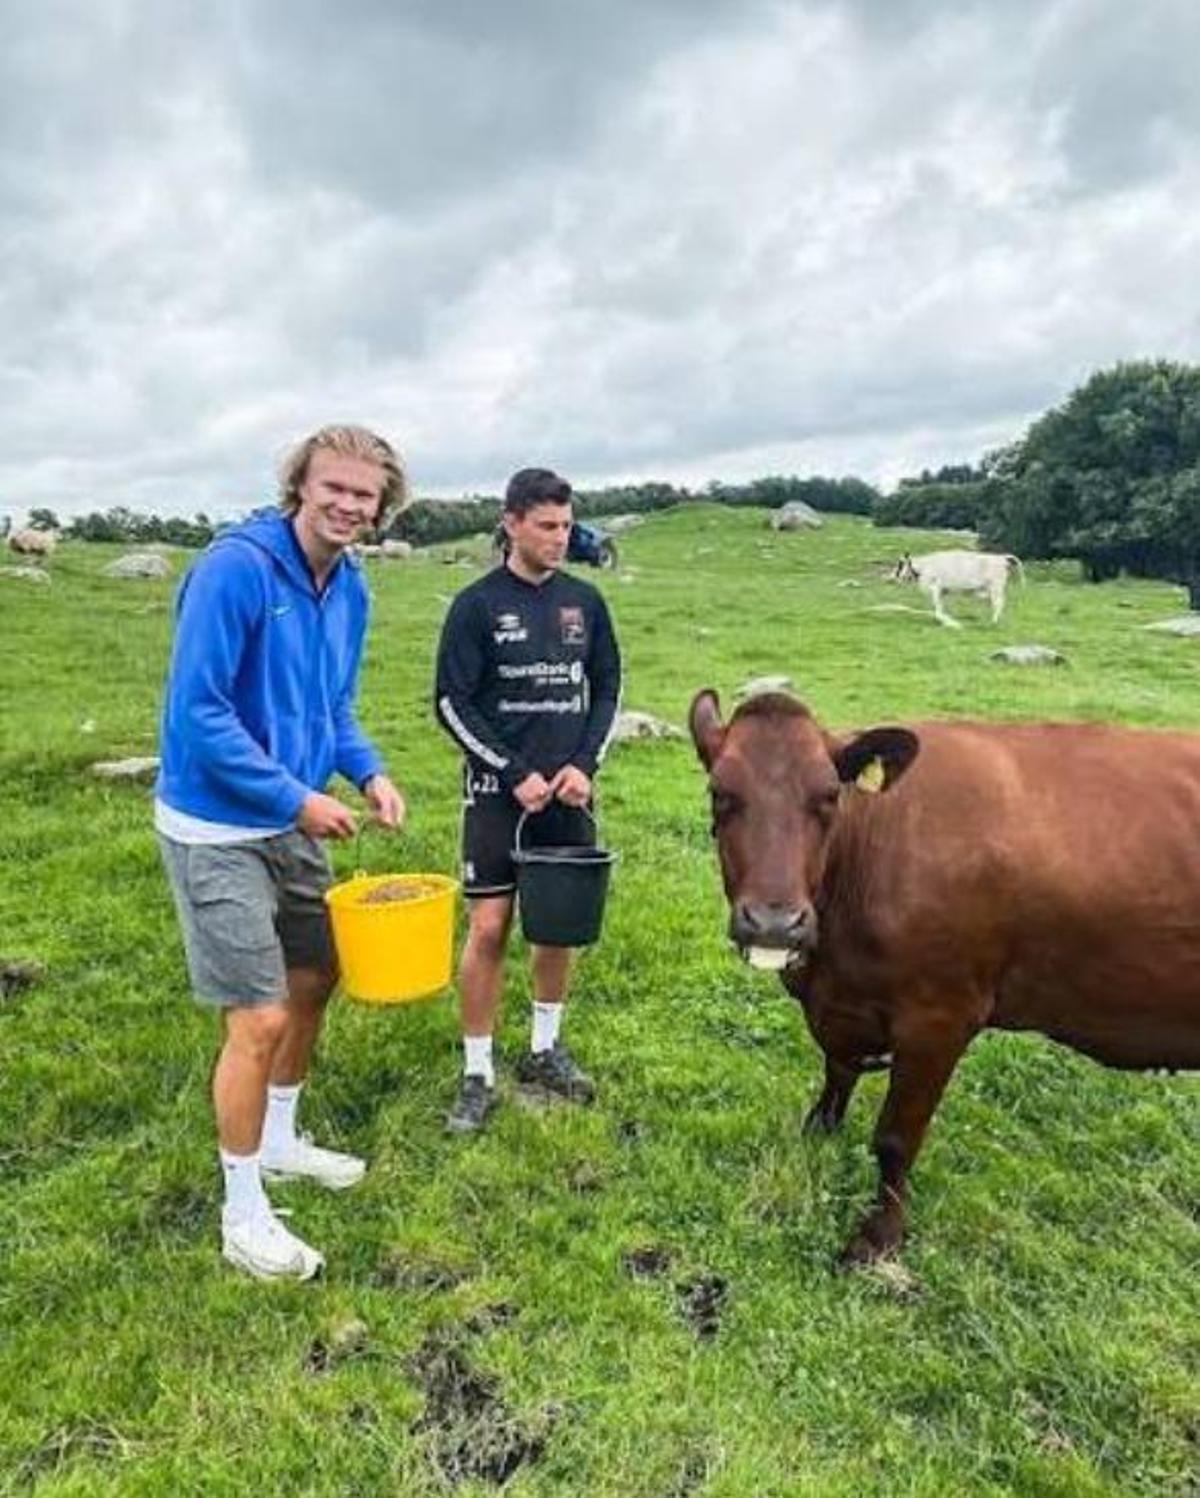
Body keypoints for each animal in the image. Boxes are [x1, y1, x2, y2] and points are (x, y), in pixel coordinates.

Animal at [689, 688, 1200, 1266]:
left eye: (828, 796)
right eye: (719, 793)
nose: (774, 923)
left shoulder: (940, 1017)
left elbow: (895, 1138)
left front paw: (879, 1236)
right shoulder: (842, 1006)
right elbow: (837, 1074)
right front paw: (817, 1134)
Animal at [893, 549, 1023, 627]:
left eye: (900, 564)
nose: (893, 576)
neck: (924, 567)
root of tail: (1001, 557)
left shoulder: (935, 588)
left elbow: (937, 606)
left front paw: (948, 622)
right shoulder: (942, 591)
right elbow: (940, 606)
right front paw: (944, 620)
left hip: (995, 588)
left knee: (998, 604)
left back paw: (993, 622)